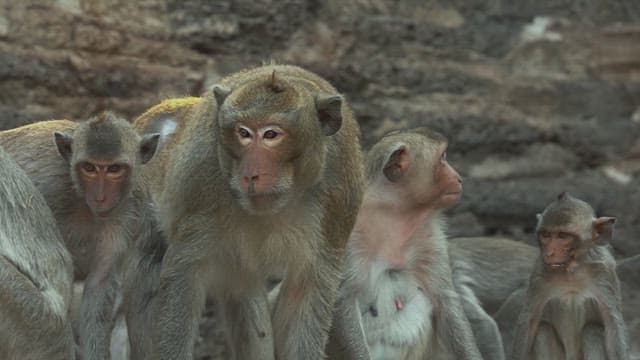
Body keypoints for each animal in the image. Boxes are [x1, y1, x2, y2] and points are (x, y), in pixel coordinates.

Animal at [0, 114, 162, 360]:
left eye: (114, 169)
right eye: (89, 168)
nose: (100, 197)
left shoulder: (130, 212)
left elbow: (100, 284)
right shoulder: (49, 184)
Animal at [134, 64, 364, 360]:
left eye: (271, 135)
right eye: (243, 133)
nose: (250, 174)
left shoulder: (339, 197)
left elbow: (306, 292)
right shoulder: (202, 179)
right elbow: (184, 272)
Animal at [340, 126, 500, 360]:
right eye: (443, 157)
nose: (459, 178)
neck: (393, 213)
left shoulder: (429, 235)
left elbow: (445, 300)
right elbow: (345, 301)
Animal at [510, 193, 632, 360]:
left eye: (563, 236)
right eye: (546, 235)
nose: (549, 253)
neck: (572, 270)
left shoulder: (605, 271)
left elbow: (611, 322)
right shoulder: (539, 272)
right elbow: (529, 320)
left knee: (592, 330)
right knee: (542, 330)